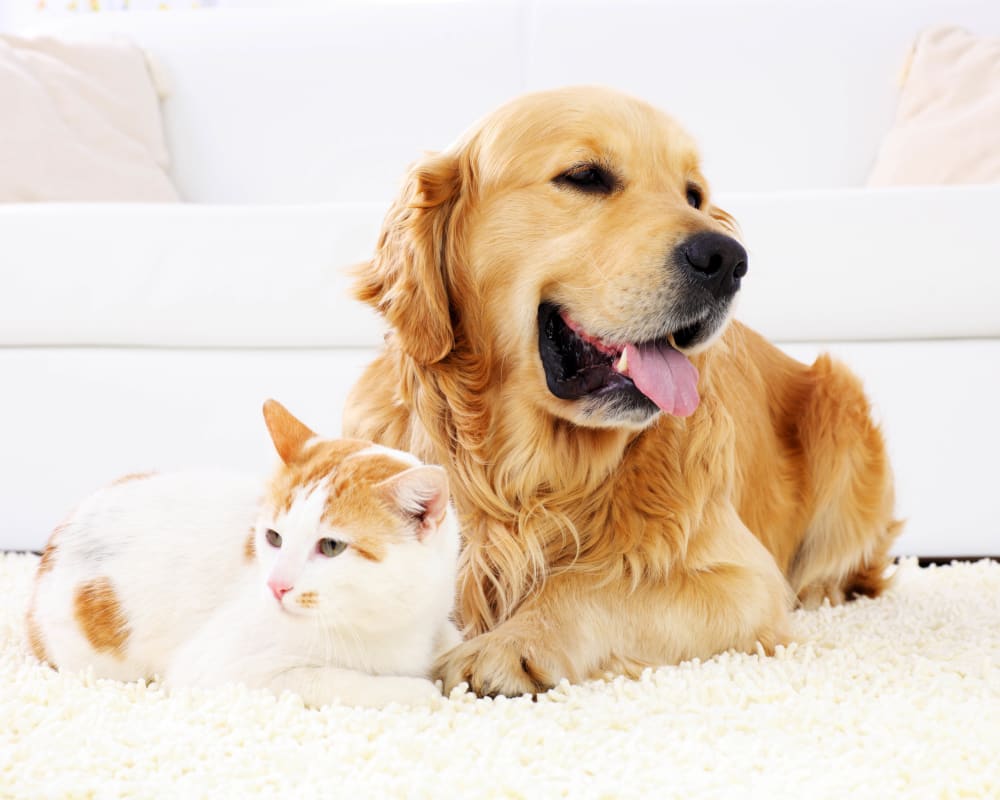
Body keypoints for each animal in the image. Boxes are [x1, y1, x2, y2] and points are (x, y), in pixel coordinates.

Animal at [24, 400, 460, 708]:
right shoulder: (221, 669)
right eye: (274, 537)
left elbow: (452, 637)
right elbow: (333, 680)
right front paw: (418, 688)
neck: (387, 619)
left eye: (331, 546)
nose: (276, 585)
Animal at [342, 87, 900, 696]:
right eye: (585, 176)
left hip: (839, 401)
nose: (728, 260)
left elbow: (591, 585)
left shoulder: (744, 579)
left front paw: (510, 644)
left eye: (694, 195)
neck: (531, 476)